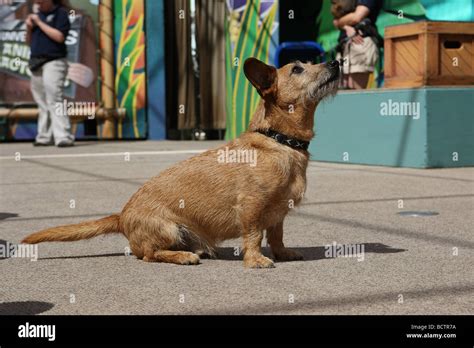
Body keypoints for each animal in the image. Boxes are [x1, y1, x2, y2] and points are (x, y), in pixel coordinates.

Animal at [22, 58, 338, 268]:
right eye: (297, 69)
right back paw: (183, 255)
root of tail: (121, 216)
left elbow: (277, 235)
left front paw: (284, 253)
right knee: (148, 255)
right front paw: (255, 260)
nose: (335, 61)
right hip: (169, 228)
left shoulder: (278, 214)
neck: (279, 140)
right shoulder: (251, 207)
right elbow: (254, 236)